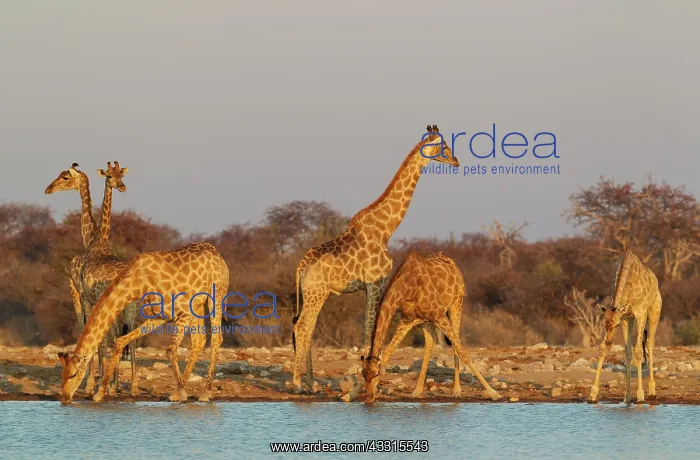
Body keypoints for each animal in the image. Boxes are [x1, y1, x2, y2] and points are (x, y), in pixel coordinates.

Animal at [45, 162, 138, 396]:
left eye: (65, 177)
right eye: (110, 176)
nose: (48, 189)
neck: (94, 240)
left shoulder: (88, 299)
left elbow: (96, 338)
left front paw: (90, 383)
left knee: (106, 335)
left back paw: (109, 385)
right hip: (131, 308)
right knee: (129, 338)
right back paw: (131, 387)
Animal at [57, 242, 230, 404]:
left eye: (73, 374)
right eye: (62, 375)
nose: (64, 398)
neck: (138, 283)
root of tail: (217, 254)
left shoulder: (183, 312)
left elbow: (170, 349)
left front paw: (182, 393)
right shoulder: (160, 316)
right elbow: (121, 341)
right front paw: (100, 393)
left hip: (216, 295)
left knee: (216, 338)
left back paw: (206, 393)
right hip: (199, 305)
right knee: (199, 341)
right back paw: (179, 393)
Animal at [290, 125, 459, 400]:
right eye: (445, 147)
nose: (456, 161)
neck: (386, 228)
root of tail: (301, 267)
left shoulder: (371, 286)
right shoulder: (376, 283)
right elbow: (370, 331)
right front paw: (370, 383)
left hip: (311, 294)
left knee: (305, 326)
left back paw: (311, 382)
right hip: (317, 292)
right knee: (303, 326)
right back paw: (297, 382)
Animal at [360, 250, 501, 402]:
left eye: (376, 374)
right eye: (363, 374)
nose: (368, 396)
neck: (407, 287)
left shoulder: (439, 315)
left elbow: (463, 353)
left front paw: (493, 393)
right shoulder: (407, 320)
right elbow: (387, 354)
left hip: (456, 304)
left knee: (455, 344)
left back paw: (456, 390)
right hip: (426, 321)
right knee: (430, 344)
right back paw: (417, 391)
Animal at [588, 247, 662, 405]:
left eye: (615, 325)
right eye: (603, 325)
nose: (609, 341)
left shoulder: (640, 313)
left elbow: (639, 351)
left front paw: (640, 395)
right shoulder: (626, 317)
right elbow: (626, 351)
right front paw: (593, 393)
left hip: (654, 311)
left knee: (649, 343)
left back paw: (652, 391)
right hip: (632, 319)